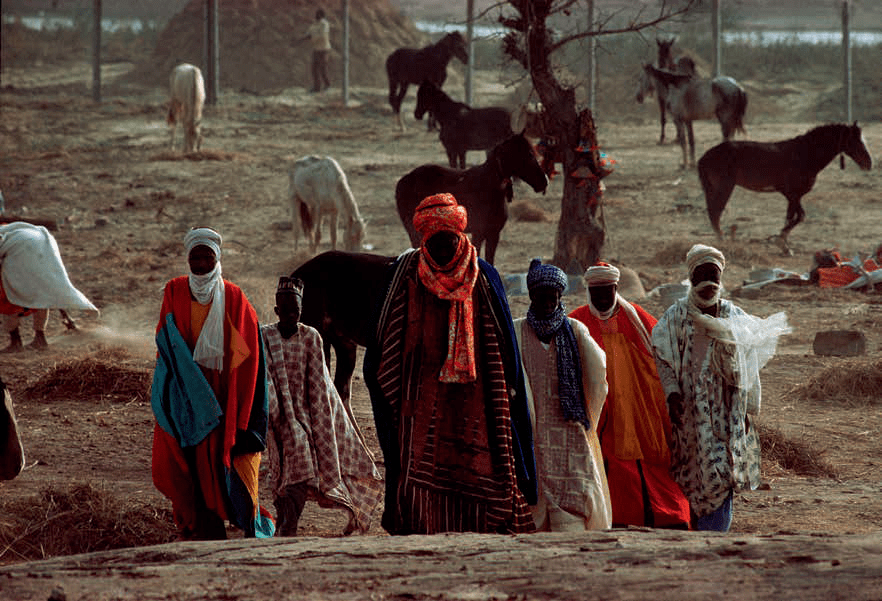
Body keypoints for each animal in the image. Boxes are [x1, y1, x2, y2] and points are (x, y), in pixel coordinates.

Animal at [392, 134, 544, 264]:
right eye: (529, 154)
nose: (544, 181)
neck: (490, 188)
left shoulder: (494, 234)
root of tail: (403, 181)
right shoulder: (479, 233)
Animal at [696, 122, 872, 253]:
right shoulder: (792, 195)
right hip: (725, 188)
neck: (804, 154)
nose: (869, 164)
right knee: (715, 212)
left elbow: (794, 216)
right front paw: (782, 243)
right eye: (856, 141)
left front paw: (783, 243)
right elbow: (796, 217)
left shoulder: (793, 196)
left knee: (713, 212)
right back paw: (722, 241)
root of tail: (705, 156)